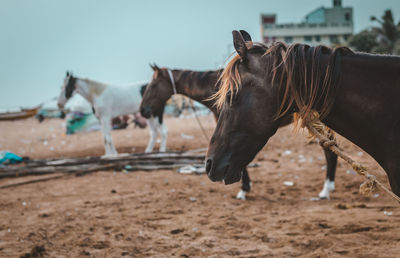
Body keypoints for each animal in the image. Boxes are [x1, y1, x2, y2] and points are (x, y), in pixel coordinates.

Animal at [140, 64, 338, 200]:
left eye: (153, 86)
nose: (143, 111)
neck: (215, 87)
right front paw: (245, 187)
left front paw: (243, 190)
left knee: (330, 153)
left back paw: (326, 190)